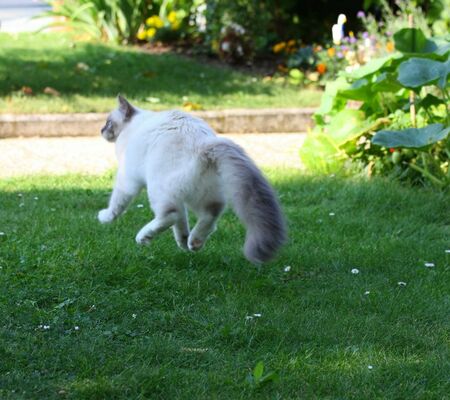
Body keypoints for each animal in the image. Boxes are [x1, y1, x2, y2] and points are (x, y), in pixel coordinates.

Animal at [98, 95, 287, 263]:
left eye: (108, 122)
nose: (101, 130)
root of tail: (204, 145)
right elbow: (182, 222)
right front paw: (183, 241)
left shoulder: (127, 179)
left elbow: (116, 204)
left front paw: (105, 217)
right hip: (198, 195)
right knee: (209, 215)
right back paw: (191, 243)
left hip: (160, 189)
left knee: (170, 215)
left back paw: (144, 237)